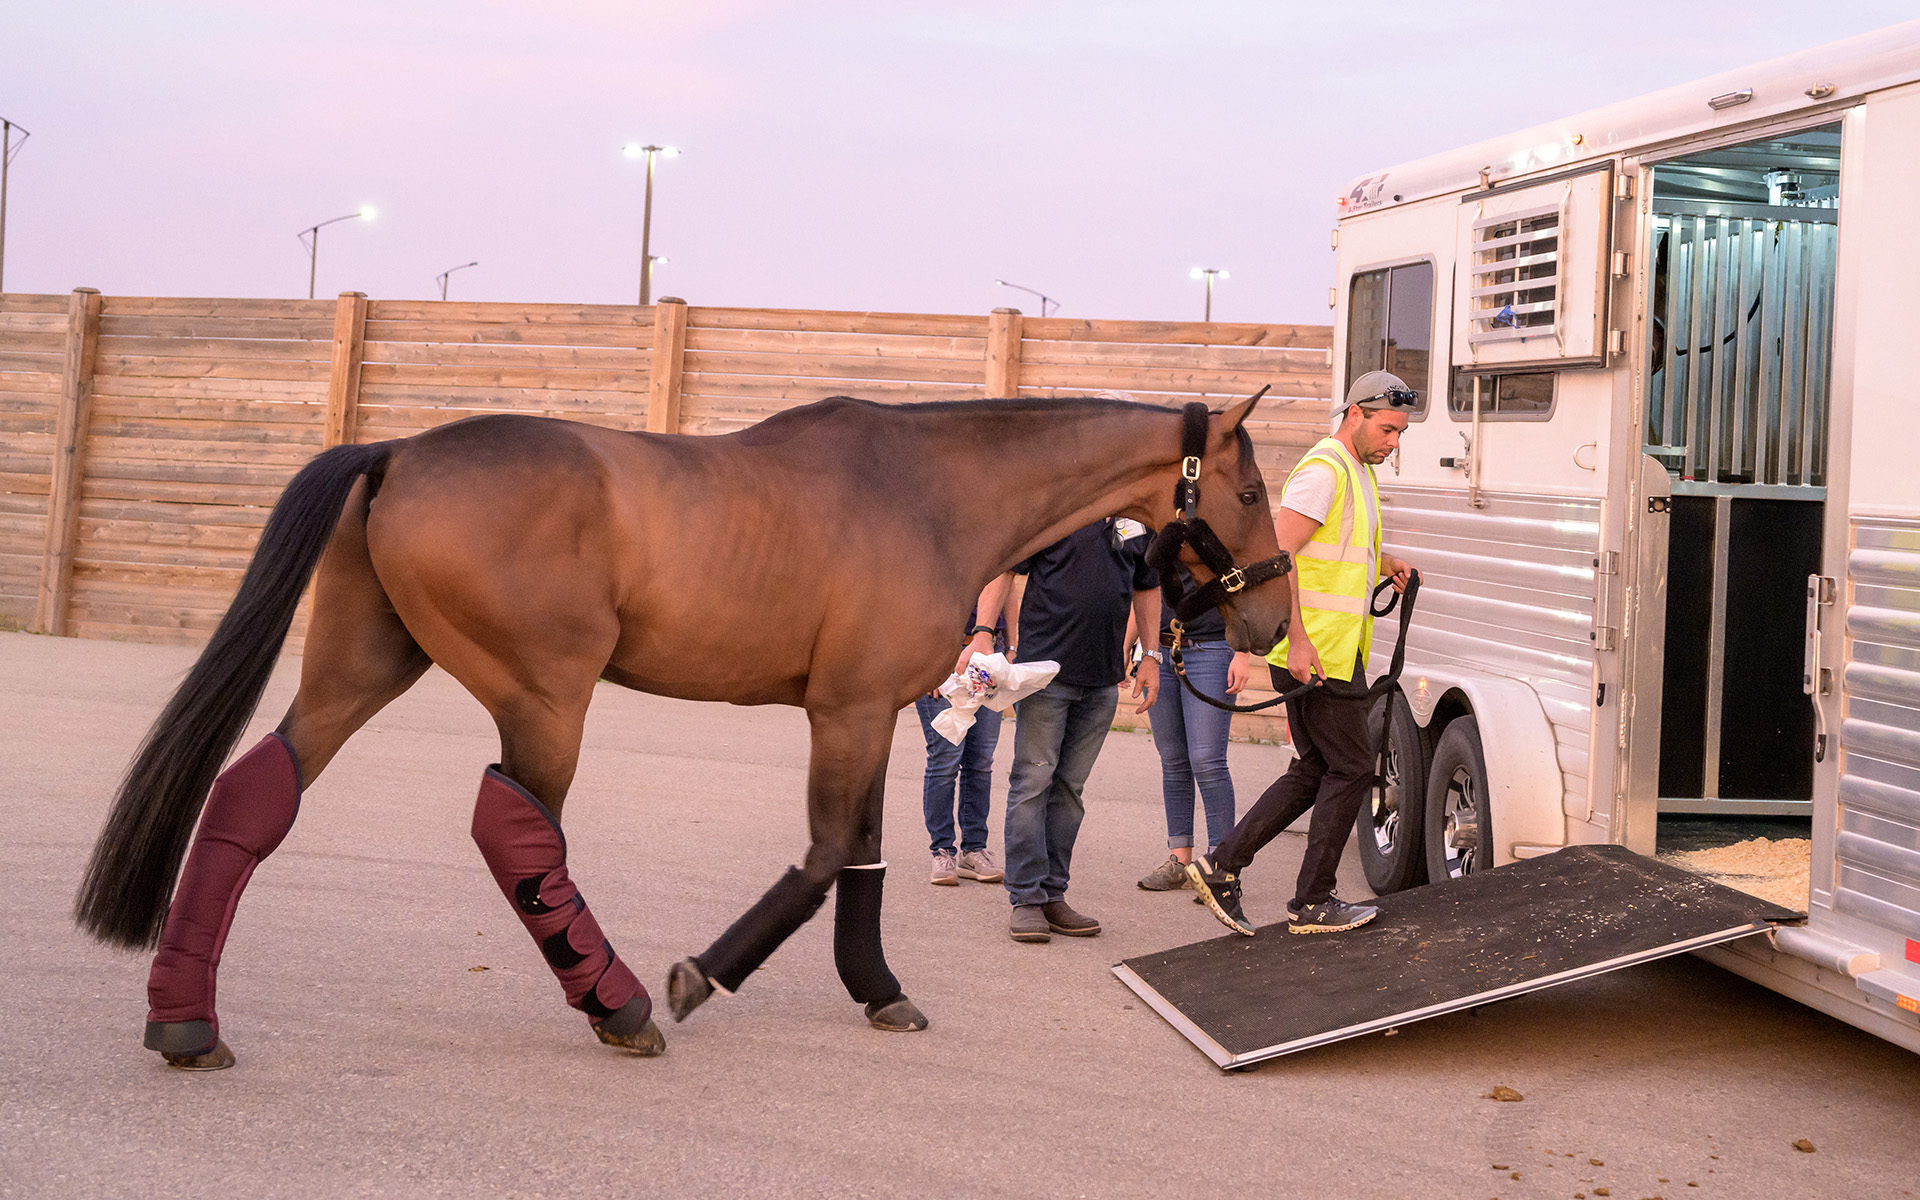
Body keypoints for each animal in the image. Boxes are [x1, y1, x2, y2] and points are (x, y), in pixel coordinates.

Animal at [82, 393, 1297, 1067]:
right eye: (1246, 491)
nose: (1274, 621)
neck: (927, 490)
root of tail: (399, 453)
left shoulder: (861, 717)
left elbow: (861, 855)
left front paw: (878, 989)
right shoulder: (847, 712)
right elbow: (823, 856)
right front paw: (701, 976)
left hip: (362, 666)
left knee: (258, 789)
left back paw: (184, 1021)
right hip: (545, 699)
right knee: (515, 831)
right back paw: (618, 1004)